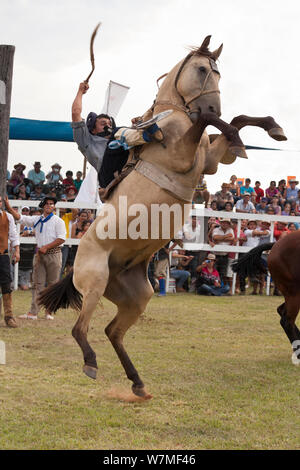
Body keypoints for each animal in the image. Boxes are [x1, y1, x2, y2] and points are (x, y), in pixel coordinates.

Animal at [38, 35, 288, 398]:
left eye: (218, 72)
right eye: (201, 70)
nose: (213, 107)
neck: (172, 117)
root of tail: (74, 268)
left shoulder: (208, 161)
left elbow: (237, 120)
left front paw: (271, 129)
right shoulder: (184, 154)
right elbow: (210, 124)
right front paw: (237, 136)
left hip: (137, 295)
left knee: (113, 331)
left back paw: (138, 383)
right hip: (95, 280)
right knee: (80, 328)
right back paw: (91, 364)